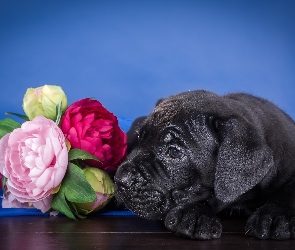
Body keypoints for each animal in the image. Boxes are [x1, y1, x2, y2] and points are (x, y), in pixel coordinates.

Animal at [114, 90, 295, 240]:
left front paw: (276, 214)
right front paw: (194, 214)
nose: (120, 179)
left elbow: (289, 190)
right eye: (140, 138)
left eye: (174, 152)